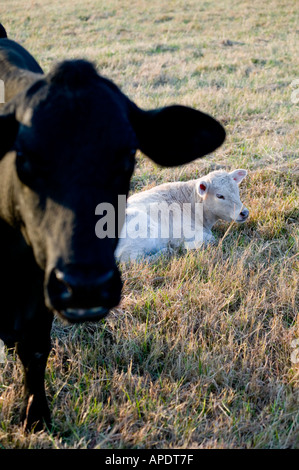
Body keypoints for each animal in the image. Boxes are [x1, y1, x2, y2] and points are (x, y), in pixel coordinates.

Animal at [116, 170, 250, 264]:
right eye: (220, 196)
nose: (244, 213)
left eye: (237, 190)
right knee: (131, 260)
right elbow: (211, 240)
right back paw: (166, 252)